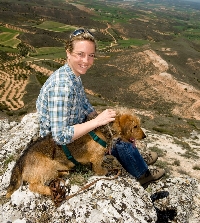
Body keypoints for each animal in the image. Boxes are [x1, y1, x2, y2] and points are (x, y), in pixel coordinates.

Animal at [5, 110, 145, 198]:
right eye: (135, 126)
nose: (144, 136)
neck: (107, 128)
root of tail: (21, 161)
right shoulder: (97, 157)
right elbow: (98, 167)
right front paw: (103, 171)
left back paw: (63, 173)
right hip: (46, 167)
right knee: (33, 186)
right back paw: (49, 190)